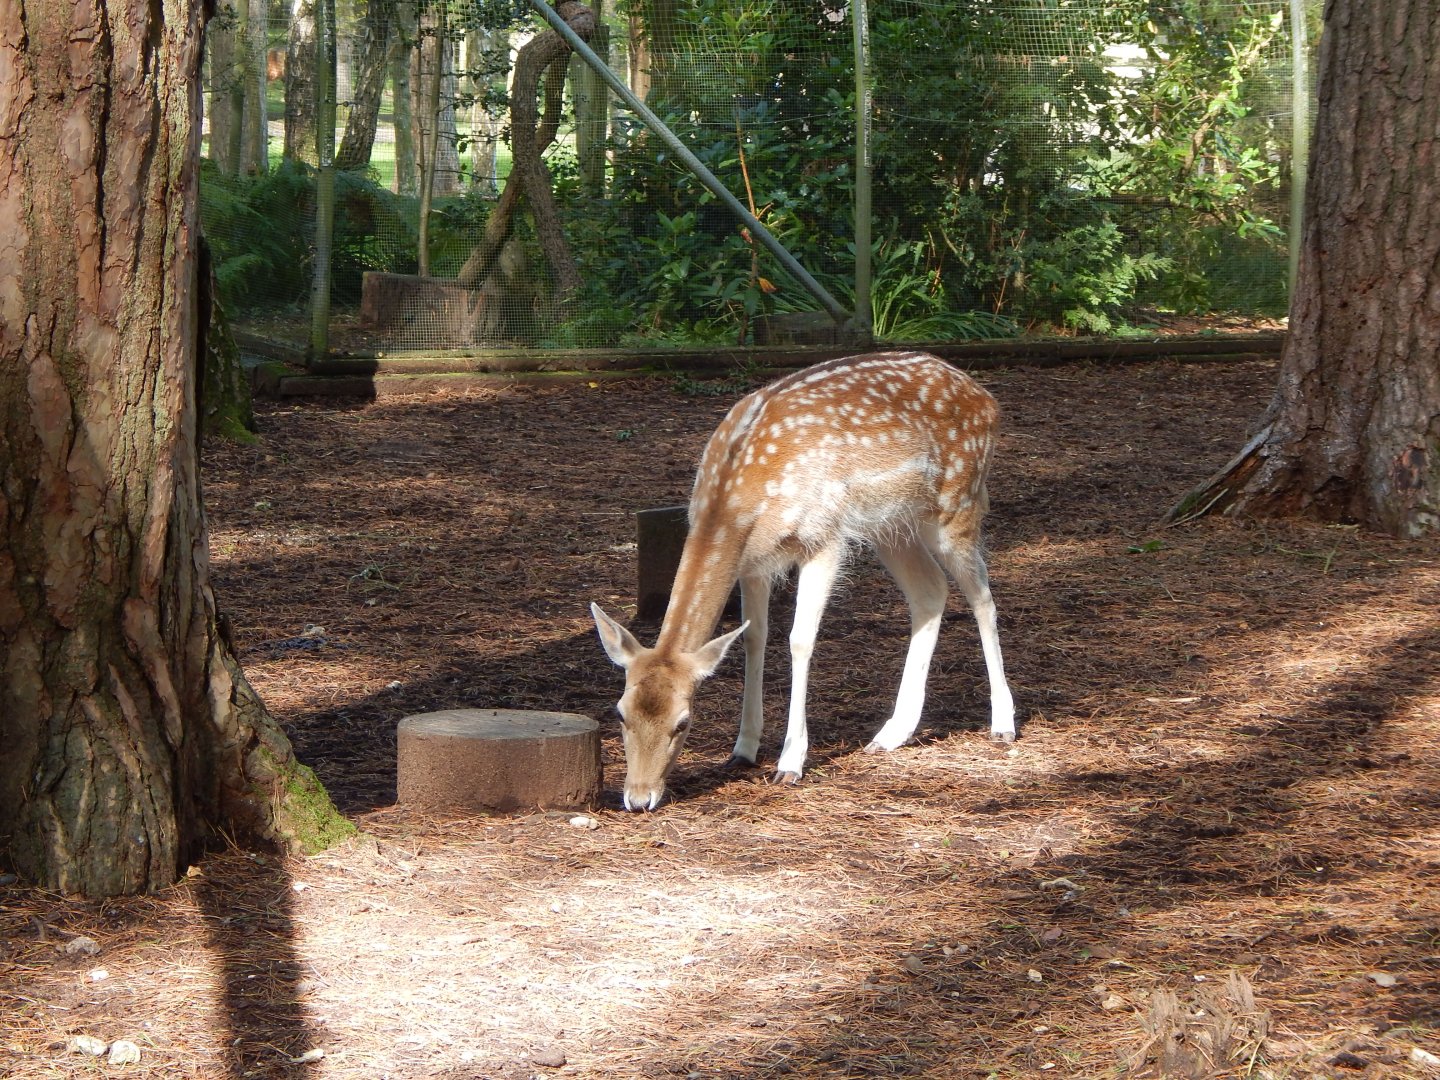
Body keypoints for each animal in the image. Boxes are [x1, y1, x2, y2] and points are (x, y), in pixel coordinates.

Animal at [591, 350, 1016, 811]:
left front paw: (790, 762)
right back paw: (891, 733)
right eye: (619, 712)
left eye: (683, 722)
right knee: (931, 591)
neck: (738, 501)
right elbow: (754, 637)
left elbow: (799, 639)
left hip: (958, 501)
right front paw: (742, 750)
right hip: (892, 526)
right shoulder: (753, 562)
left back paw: (1003, 723)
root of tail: (989, 400)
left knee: (983, 598)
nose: (639, 798)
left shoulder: (824, 537)